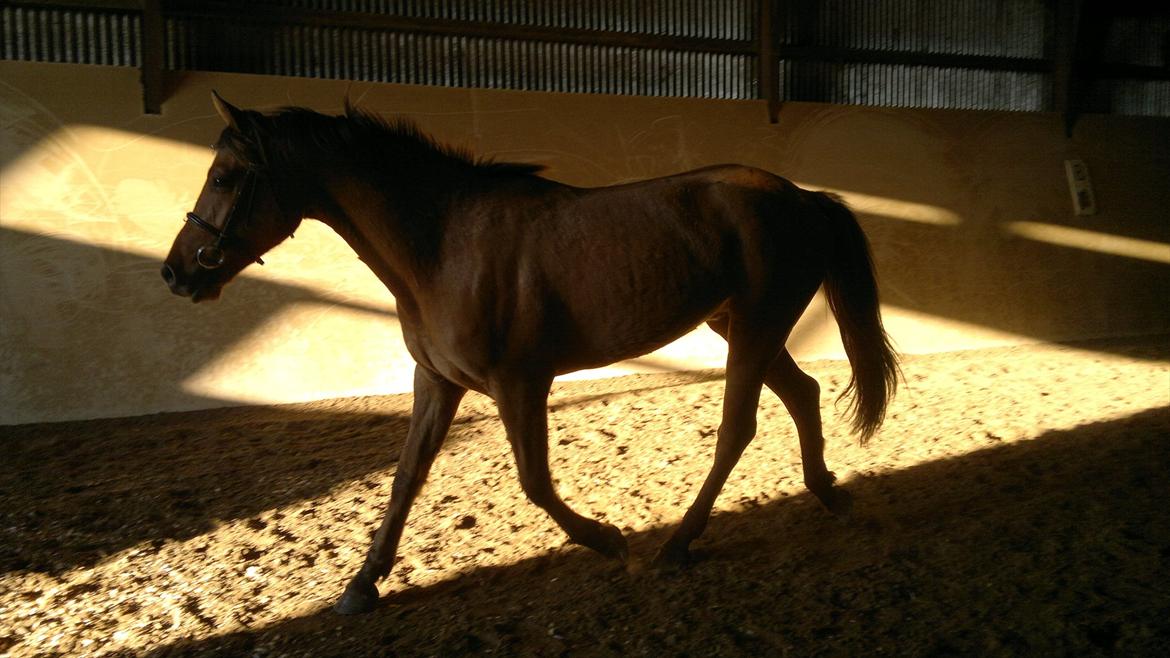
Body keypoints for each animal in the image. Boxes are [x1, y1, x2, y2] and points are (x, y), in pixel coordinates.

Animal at [162, 92, 899, 615]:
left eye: (225, 176)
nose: (177, 273)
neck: (442, 247)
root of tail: (803, 197)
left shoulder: (520, 384)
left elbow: (535, 482)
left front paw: (611, 541)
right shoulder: (436, 382)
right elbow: (405, 478)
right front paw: (362, 585)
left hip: (755, 326)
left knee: (736, 428)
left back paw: (676, 545)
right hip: (739, 326)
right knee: (801, 394)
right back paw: (827, 494)